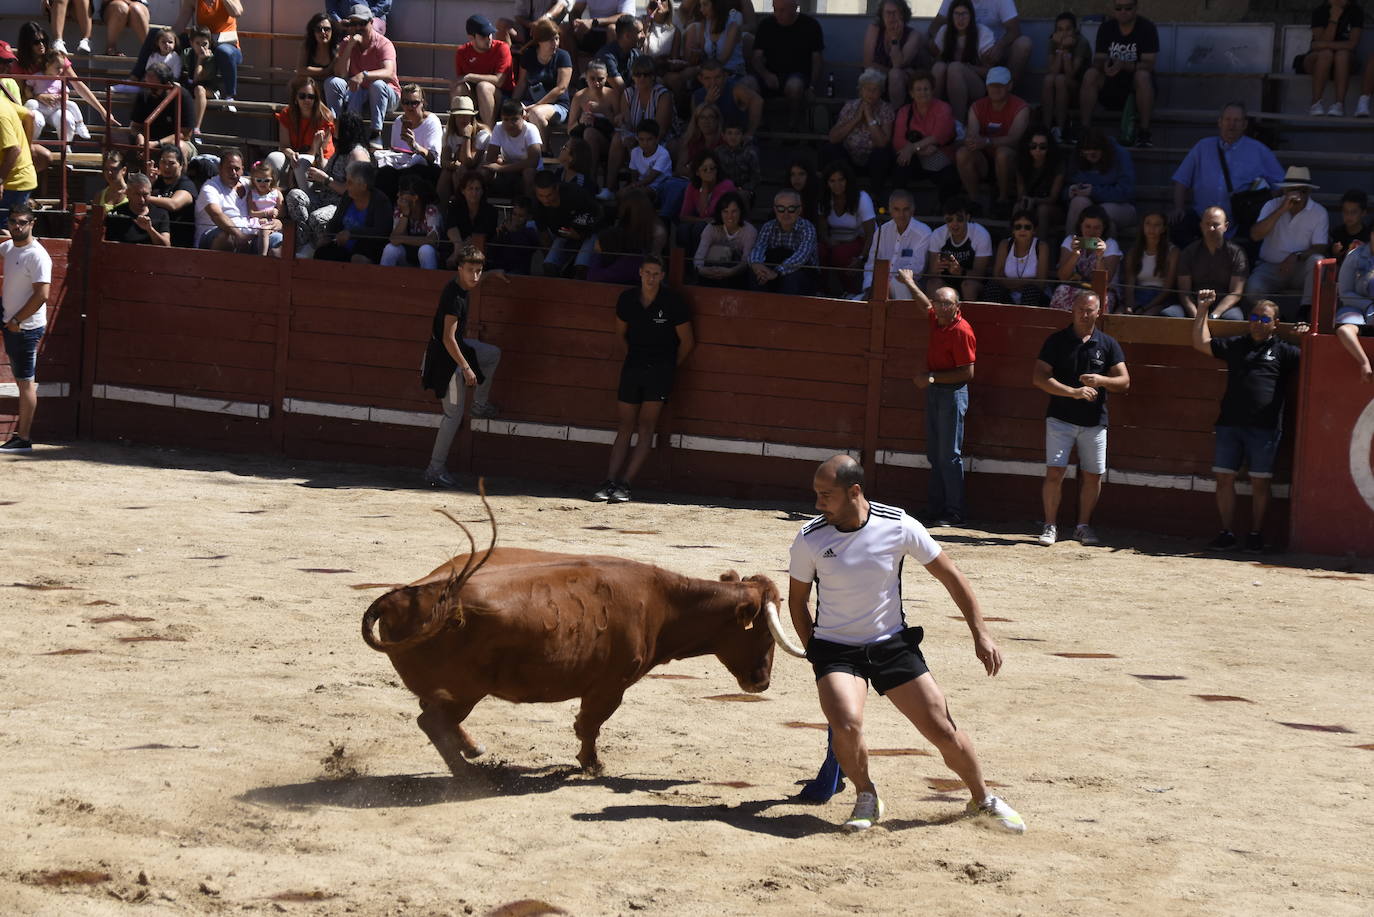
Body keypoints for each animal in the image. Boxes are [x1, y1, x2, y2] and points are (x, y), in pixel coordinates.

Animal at [362, 544, 802, 775]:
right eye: (765, 631)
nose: (761, 681)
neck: (663, 602)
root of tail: (407, 594)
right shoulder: (610, 685)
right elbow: (590, 725)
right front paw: (592, 764)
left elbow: (587, 725)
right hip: (465, 689)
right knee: (433, 721)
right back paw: (467, 772)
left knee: (436, 719)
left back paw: (472, 753)